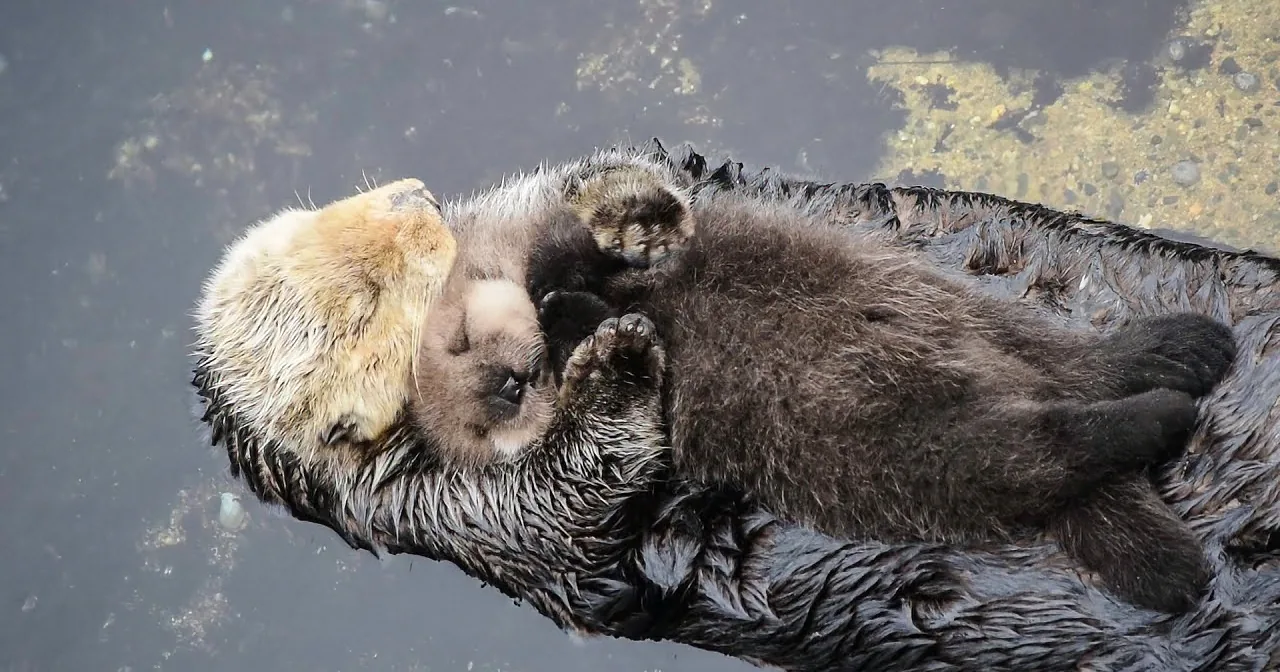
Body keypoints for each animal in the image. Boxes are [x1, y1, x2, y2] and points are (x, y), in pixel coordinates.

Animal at [518, 168, 1238, 614]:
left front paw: (614, 243)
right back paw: (1166, 406)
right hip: (921, 447)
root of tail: (1016, 382)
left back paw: (1176, 354)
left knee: (1074, 372)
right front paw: (579, 311)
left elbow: (574, 262)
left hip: (949, 316)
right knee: (1049, 444)